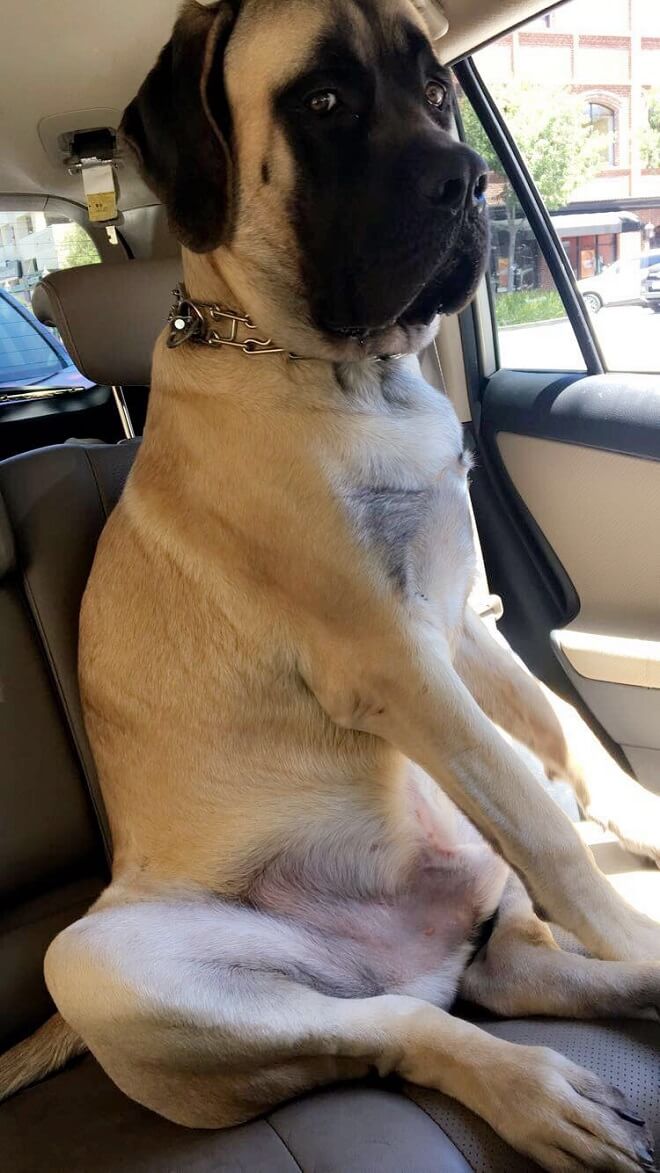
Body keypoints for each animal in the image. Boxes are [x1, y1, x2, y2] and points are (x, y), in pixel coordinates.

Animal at [1, 2, 660, 1173]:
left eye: (439, 92)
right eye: (323, 101)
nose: (474, 184)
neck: (328, 366)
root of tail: (410, 956)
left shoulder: (463, 626)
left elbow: (565, 738)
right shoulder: (392, 659)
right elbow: (536, 806)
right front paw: (632, 922)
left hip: (461, 861)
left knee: (505, 972)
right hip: (104, 963)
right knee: (406, 1030)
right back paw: (541, 1087)